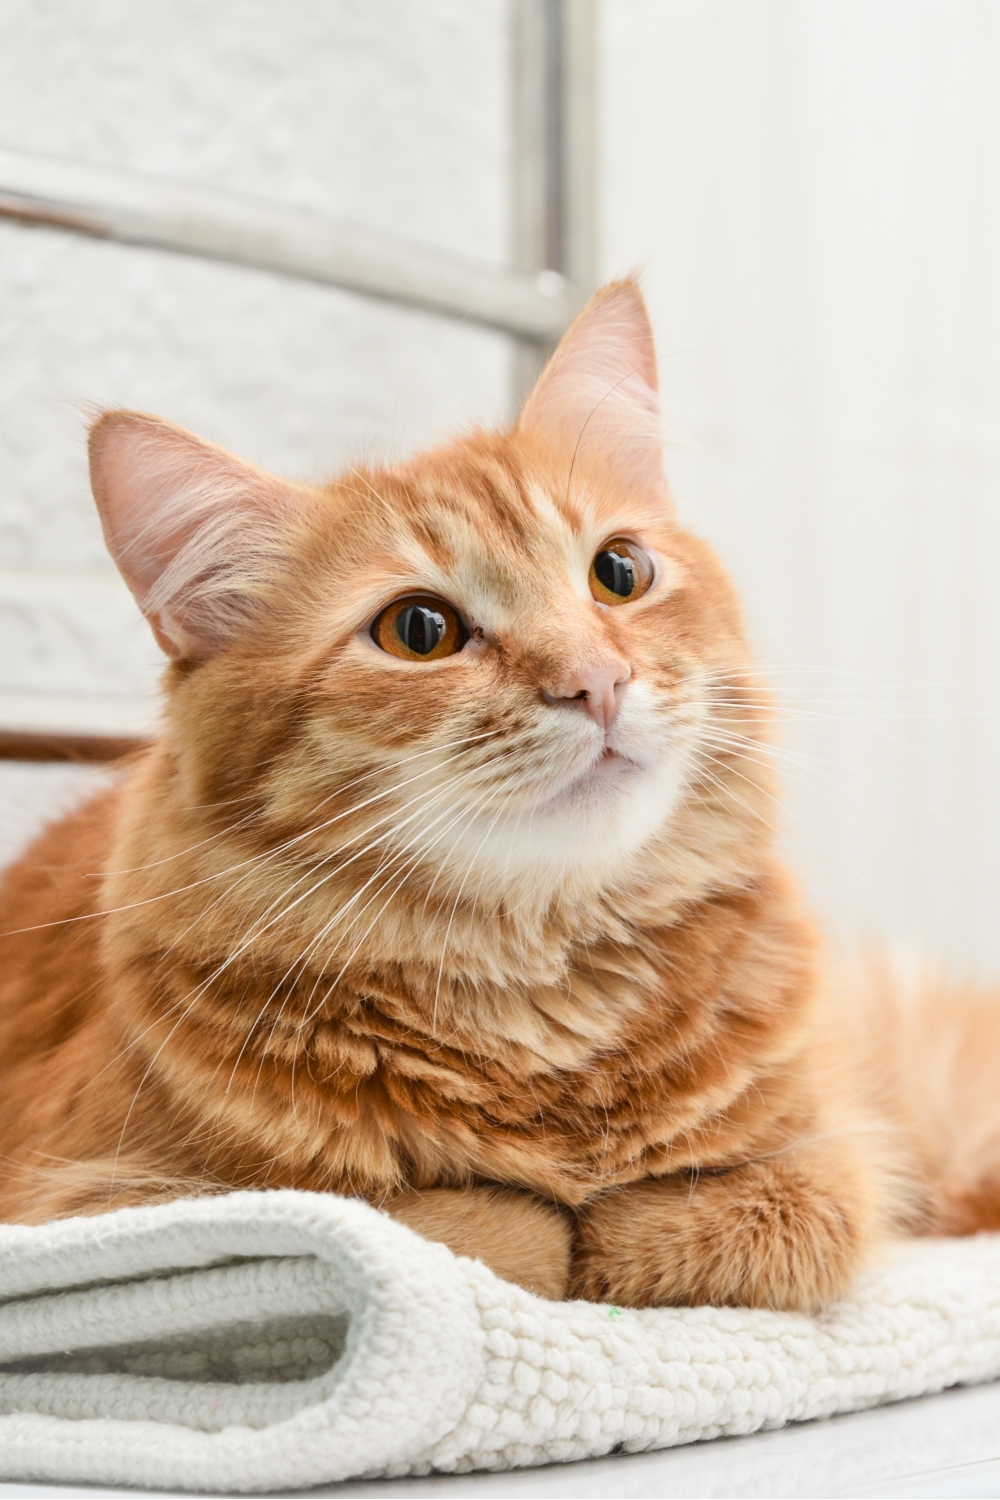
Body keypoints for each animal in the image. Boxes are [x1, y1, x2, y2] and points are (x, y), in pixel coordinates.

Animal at [1, 282, 1000, 1314]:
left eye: (619, 572)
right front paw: (557, 1230)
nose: (598, 680)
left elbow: (754, 1218)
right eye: (419, 630)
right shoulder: (103, 1208)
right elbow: (455, 1222)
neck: (552, 995)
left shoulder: (833, 1155)